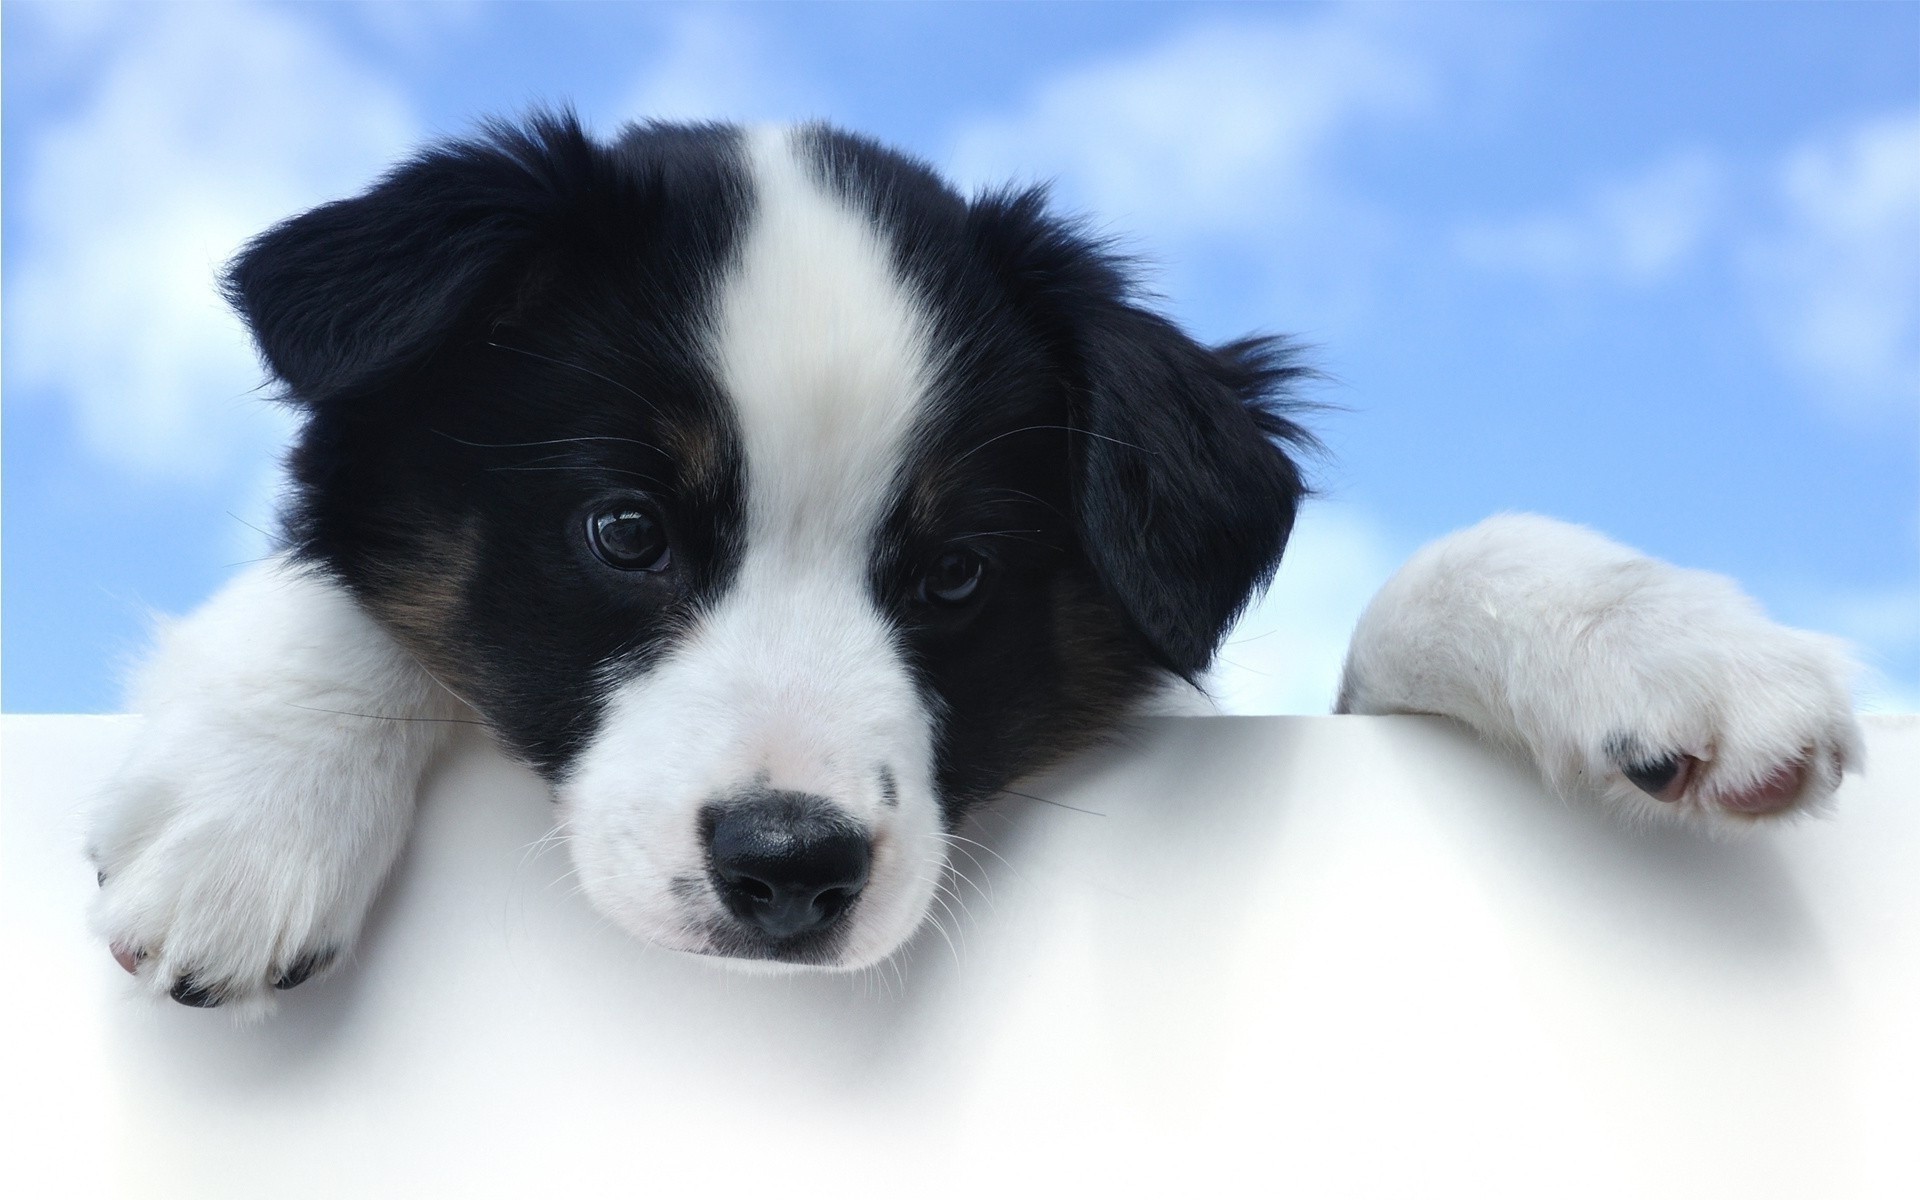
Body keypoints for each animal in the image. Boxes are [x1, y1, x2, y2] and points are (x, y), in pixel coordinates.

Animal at [86, 114, 1858, 1013]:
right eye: (626, 531)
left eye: (951, 578)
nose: (790, 871)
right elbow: (337, 597)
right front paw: (249, 820)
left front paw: (1660, 637)